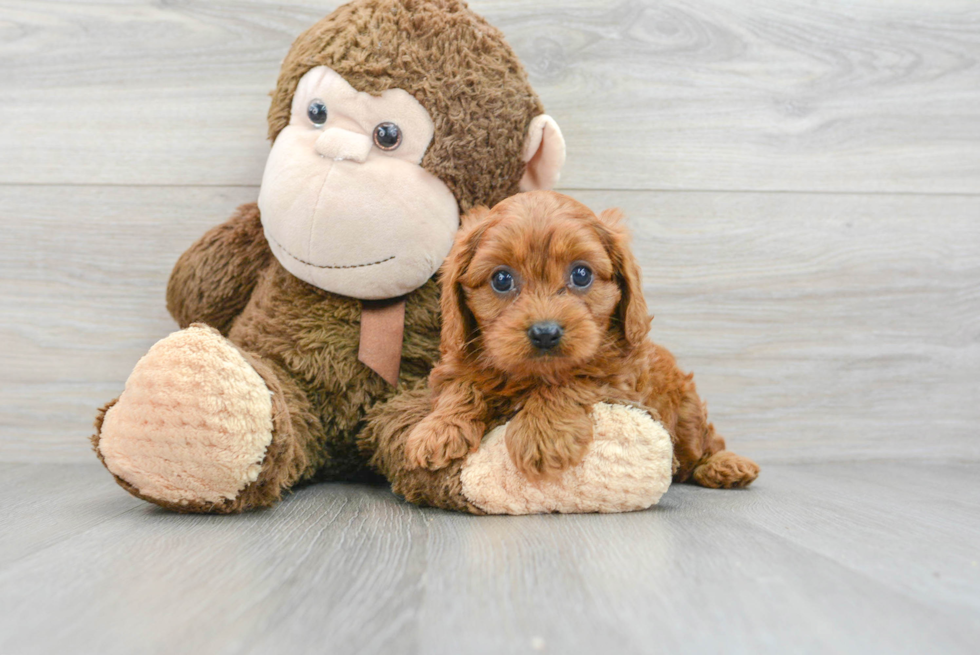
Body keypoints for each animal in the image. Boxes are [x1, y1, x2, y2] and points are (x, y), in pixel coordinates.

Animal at [402, 190, 760, 486]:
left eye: (581, 274)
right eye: (501, 279)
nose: (545, 333)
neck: (531, 376)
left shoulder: (618, 379)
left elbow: (569, 381)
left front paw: (542, 435)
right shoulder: (456, 361)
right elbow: (461, 387)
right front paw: (437, 430)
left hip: (688, 414)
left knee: (704, 443)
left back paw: (724, 465)